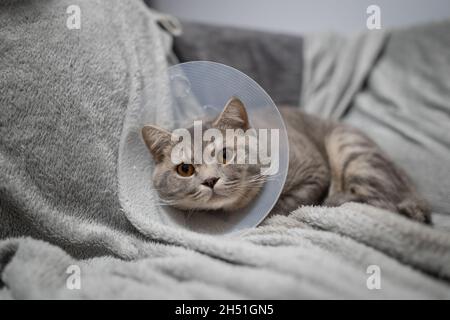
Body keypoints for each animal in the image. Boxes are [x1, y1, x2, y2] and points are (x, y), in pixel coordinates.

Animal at [142, 98, 430, 225]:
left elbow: (289, 202)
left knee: (380, 202)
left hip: (349, 147)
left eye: (225, 154)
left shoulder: (315, 172)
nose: (211, 180)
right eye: (185, 169)